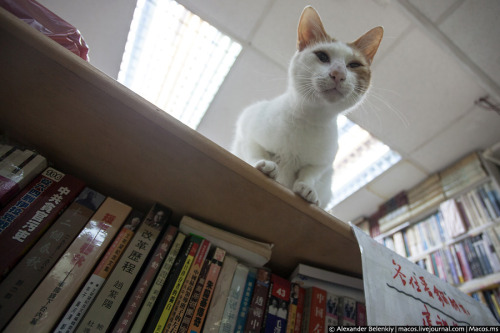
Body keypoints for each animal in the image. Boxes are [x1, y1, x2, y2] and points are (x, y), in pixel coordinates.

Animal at [231, 6, 382, 209]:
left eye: (354, 65)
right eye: (322, 56)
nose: (338, 73)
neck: (309, 119)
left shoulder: (323, 164)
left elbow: (309, 174)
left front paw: (306, 188)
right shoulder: (247, 128)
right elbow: (254, 151)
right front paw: (263, 164)